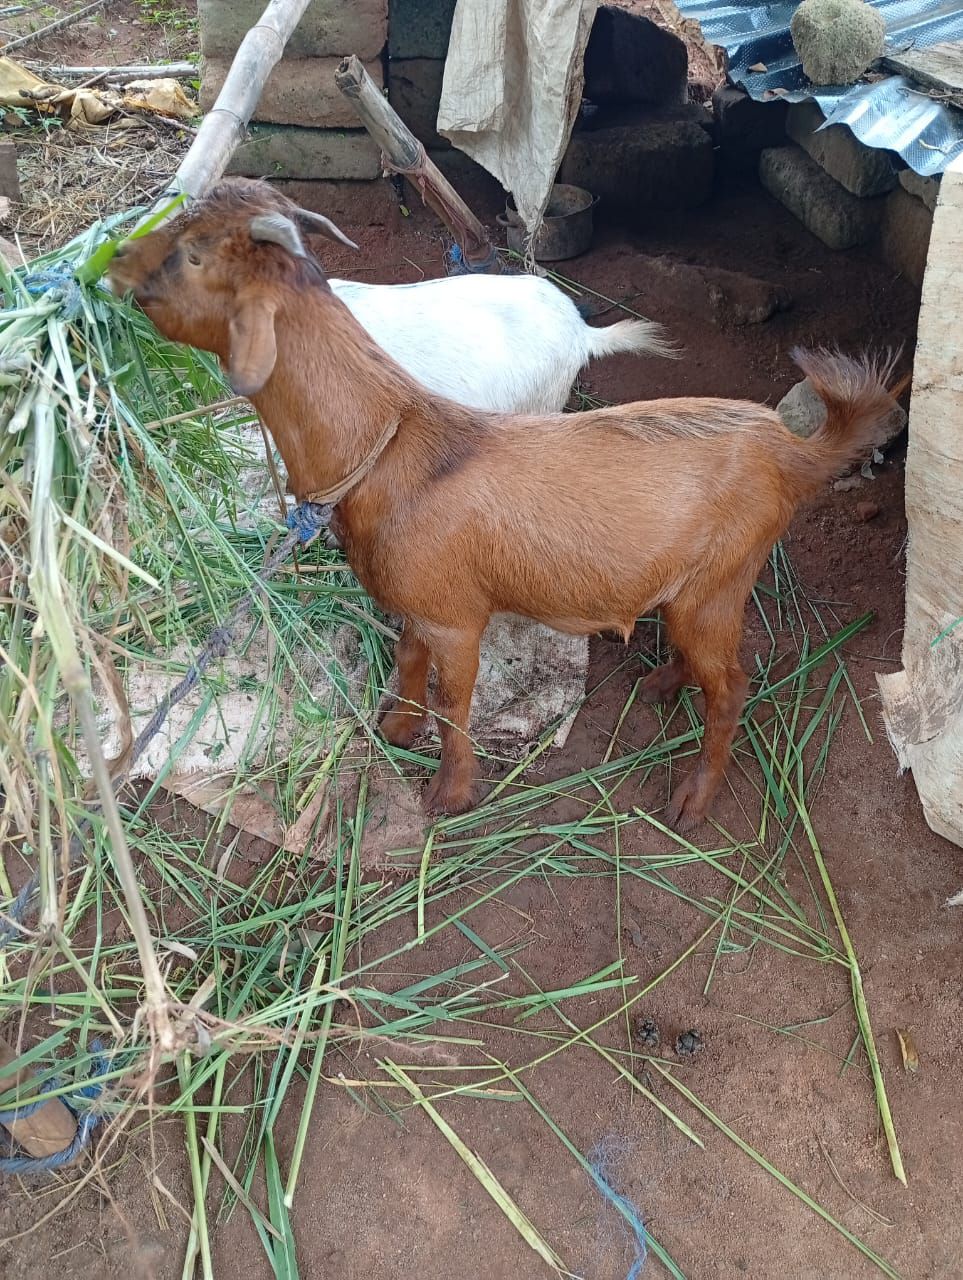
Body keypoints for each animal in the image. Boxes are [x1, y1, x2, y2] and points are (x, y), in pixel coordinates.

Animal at [109, 179, 903, 830]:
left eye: (192, 256)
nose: (115, 260)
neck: (391, 448)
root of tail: (791, 451)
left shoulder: (458, 619)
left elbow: (454, 701)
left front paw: (448, 794)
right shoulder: (420, 601)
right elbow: (407, 663)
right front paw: (394, 732)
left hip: (721, 579)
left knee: (733, 687)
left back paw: (691, 801)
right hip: (697, 591)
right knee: (703, 660)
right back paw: (662, 683)